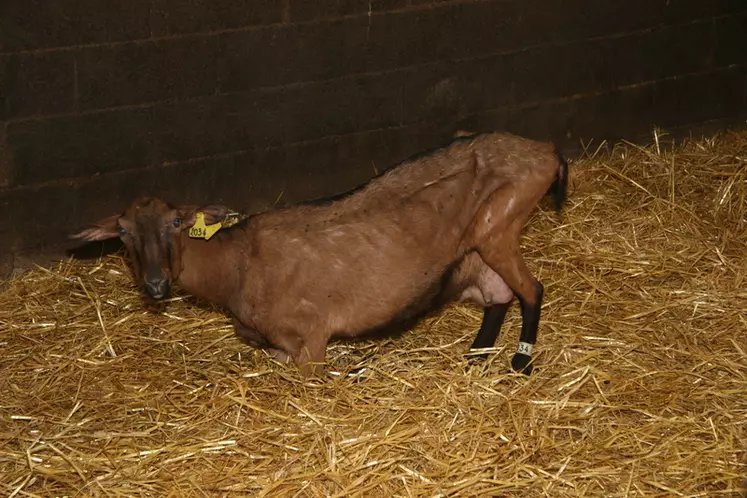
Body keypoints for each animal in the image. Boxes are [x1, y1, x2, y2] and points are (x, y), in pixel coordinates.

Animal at [74, 130, 568, 376]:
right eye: (123, 232)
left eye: (176, 223)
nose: (156, 285)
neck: (239, 263)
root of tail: (546, 151)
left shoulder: (310, 341)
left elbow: (291, 364)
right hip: (478, 246)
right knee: (497, 296)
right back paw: (476, 357)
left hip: (501, 224)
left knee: (531, 289)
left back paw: (520, 361)